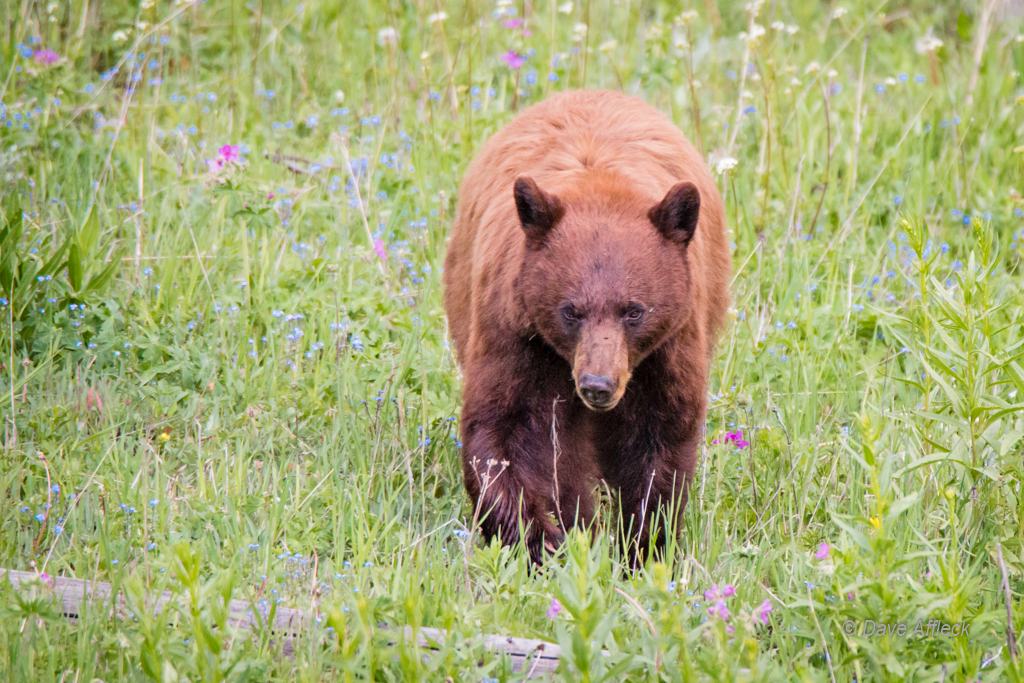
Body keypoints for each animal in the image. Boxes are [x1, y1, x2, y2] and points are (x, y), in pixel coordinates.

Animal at [444, 88, 733, 565]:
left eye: (634, 310)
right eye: (570, 311)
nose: (597, 384)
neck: (600, 188)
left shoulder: (669, 347)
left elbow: (659, 441)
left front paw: (642, 546)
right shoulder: (516, 332)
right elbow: (506, 431)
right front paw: (546, 540)